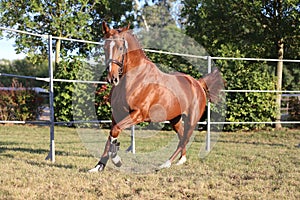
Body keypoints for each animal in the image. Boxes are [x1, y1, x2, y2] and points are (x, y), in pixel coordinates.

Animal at [88, 21, 223, 172]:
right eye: (105, 47)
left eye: (121, 47)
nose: (112, 78)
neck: (134, 78)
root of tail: (198, 83)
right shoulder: (116, 114)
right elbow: (111, 134)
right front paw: (98, 167)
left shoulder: (138, 114)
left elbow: (115, 131)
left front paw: (116, 160)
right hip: (175, 119)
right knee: (181, 136)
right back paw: (181, 160)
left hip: (192, 119)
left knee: (185, 139)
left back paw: (165, 163)